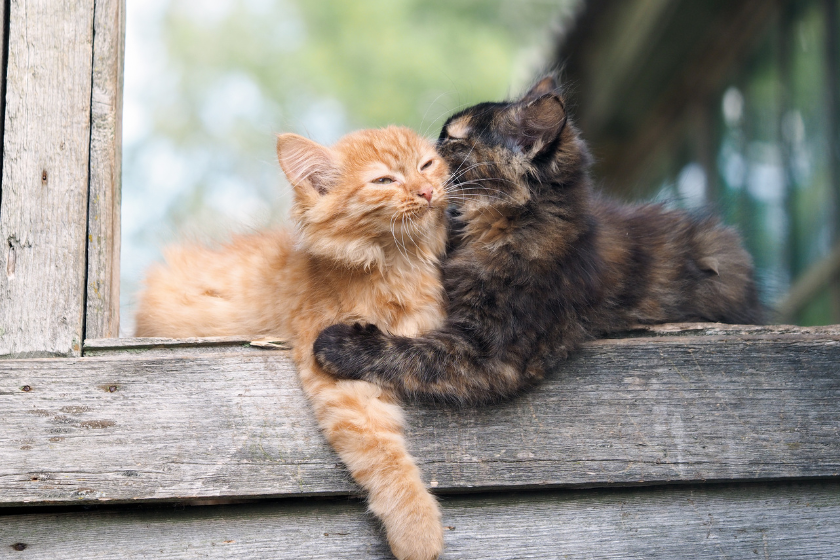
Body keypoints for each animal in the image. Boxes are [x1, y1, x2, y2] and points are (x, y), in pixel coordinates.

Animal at [136, 127, 452, 560]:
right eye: (384, 180)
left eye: (426, 164)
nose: (426, 191)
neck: (397, 266)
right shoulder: (340, 371)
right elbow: (383, 455)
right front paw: (417, 530)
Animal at [314, 77, 760, 402]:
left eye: (452, 139)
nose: (428, 147)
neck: (501, 226)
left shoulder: (491, 349)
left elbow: (411, 353)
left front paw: (338, 344)